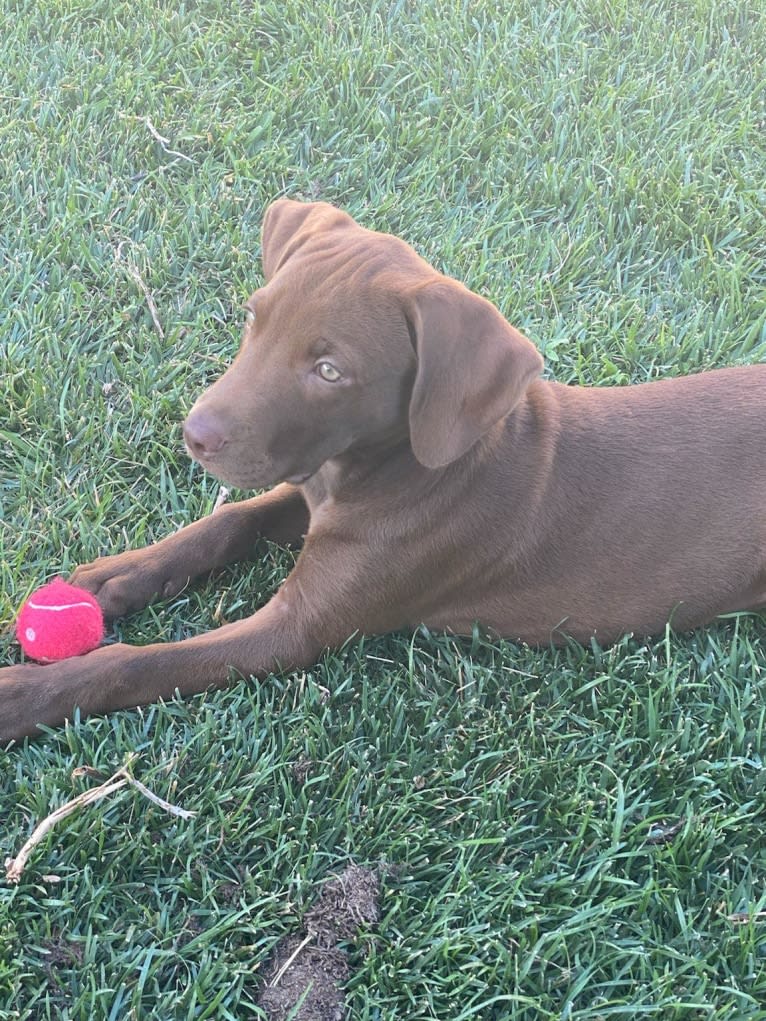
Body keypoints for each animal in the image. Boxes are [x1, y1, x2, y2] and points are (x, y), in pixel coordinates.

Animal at [1, 199, 766, 743]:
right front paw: (116, 577)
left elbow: (138, 661)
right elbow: (231, 520)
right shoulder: (307, 488)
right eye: (254, 318)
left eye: (329, 370)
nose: (195, 436)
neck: (382, 467)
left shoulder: (294, 630)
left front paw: (22, 694)